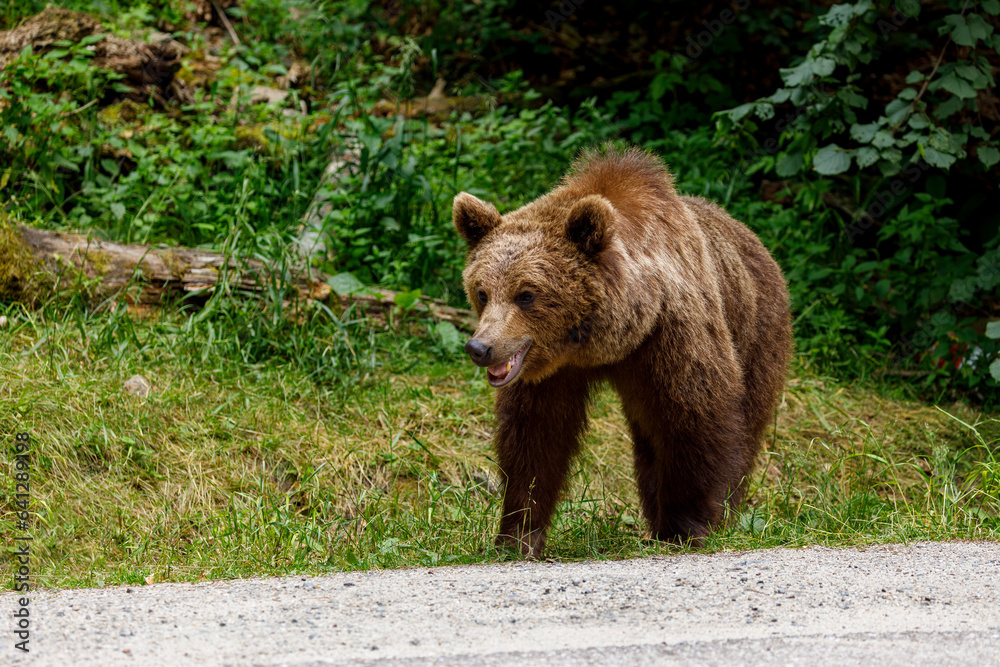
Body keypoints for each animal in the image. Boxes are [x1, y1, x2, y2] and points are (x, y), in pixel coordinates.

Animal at [454, 145, 788, 560]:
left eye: (526, 294)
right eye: (482, 292)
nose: (480, 347)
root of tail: (758, 244)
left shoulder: (671, 334)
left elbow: (695, 417)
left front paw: (687, 527)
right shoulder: (550, 373)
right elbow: (535, 437)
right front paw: (517, 535)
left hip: (756, 333)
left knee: (743, 427)